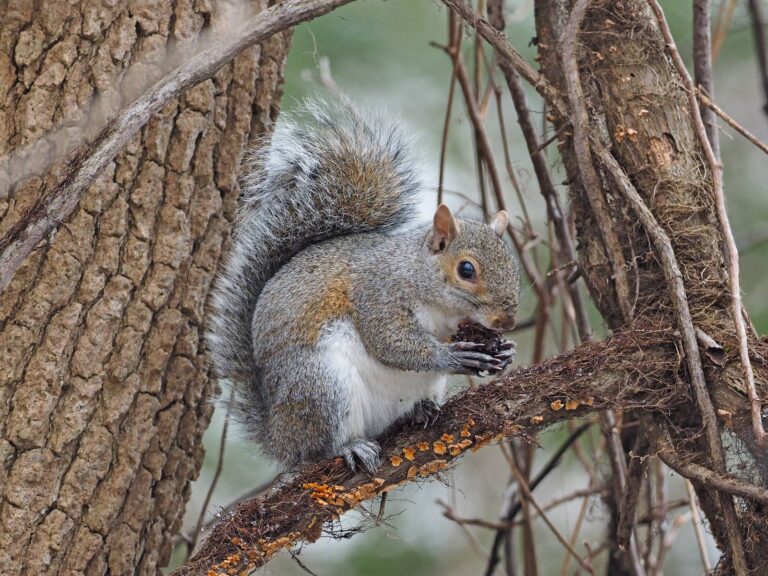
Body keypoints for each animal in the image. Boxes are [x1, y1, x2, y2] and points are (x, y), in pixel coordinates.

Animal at [206, 99, 520, 474]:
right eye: (467, 269)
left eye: (514, 265)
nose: (507, 320)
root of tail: (280, 439)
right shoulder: (378, 292)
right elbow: (389, 340)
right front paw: (452, 356)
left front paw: (505, 351)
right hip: (322, 384)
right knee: (321, 447)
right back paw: (349, 447)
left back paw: (419, 411)